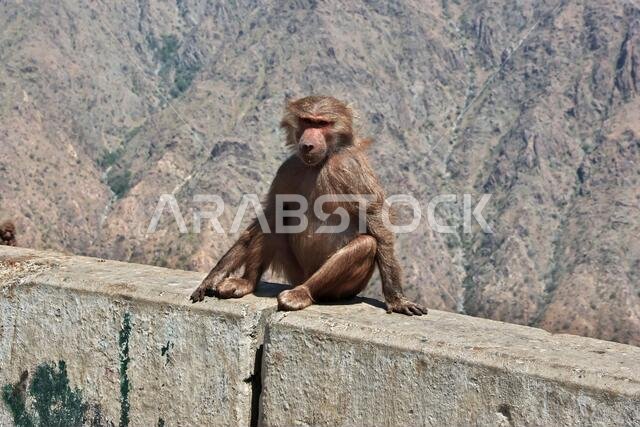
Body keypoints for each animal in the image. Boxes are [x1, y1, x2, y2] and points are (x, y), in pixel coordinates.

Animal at [190, 96, 427, 316]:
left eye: (322, 123)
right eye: (307, 121)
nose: (308, 144)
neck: (321, 163)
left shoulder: (352, 168)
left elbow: (376, 224)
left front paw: (397, 299)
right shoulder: (288, 169)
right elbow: (270, 213)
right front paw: (213, 277)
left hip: (341, 289)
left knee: (366, 244)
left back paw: (301, 294)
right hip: (295, 272)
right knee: (274, 220)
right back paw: (246, 282)